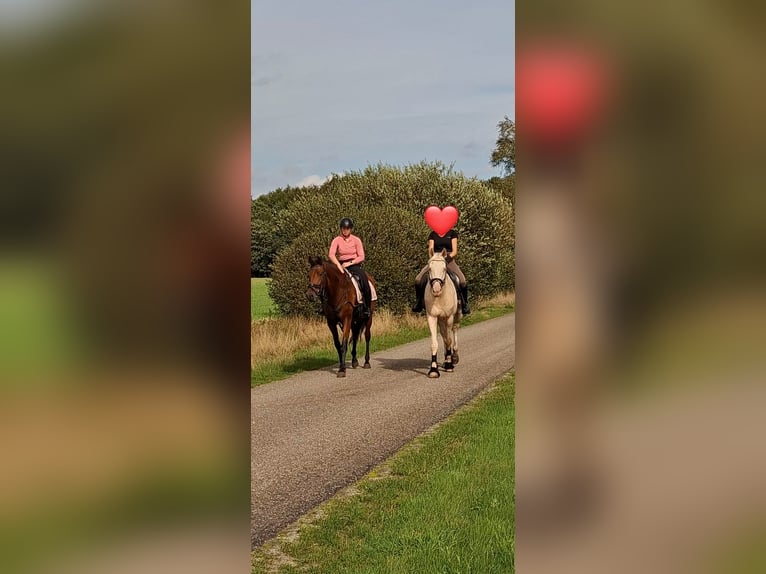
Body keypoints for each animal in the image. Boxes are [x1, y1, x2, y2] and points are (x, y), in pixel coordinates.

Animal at [424, 249, 461, 378]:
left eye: (444, 269)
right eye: (429, 268)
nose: (436, 290)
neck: (440, 297)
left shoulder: (449, 317)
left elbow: (449, 340)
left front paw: (449, 365)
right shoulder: (432, 317)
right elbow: (435, 343)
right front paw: (434, 370)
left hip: (456, 316)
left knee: (454, 331)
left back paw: (453, 357)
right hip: (441, 319)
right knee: (444, 335)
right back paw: (446, 359)